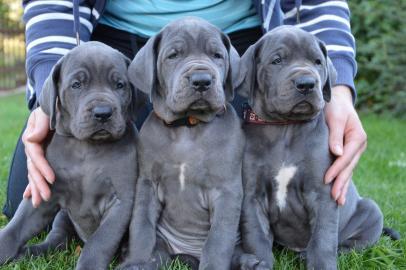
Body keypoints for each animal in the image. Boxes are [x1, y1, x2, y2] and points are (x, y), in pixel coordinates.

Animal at [0, 41, 138, 268]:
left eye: (120, 85)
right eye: (76, 85)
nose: (103, 113)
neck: (87, 148)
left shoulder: (120, 202)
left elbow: (99, 243)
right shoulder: (44, 191)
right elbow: (16, 226)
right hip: (63, 217)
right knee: (56, 241)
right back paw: (29, 253)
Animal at [119, 17, 246, 270]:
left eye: (217, 55)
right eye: (173, 56)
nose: (202, 81)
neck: (188, 126)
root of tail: (187, 256)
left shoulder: (227, 190)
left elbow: (218, 240)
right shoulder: (147, 184)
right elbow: (141, 228)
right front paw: (136, 261)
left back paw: (253, 262)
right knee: (158, 253)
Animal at [238, 25, 384, 270]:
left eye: (317, 61)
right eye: (277, 60)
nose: (306, 83)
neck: (285, 128)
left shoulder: (323, 192)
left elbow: (323, 240)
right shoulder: (252, 196)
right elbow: (257, 239)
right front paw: (261, 263)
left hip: (372, 211)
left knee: (350, 245)